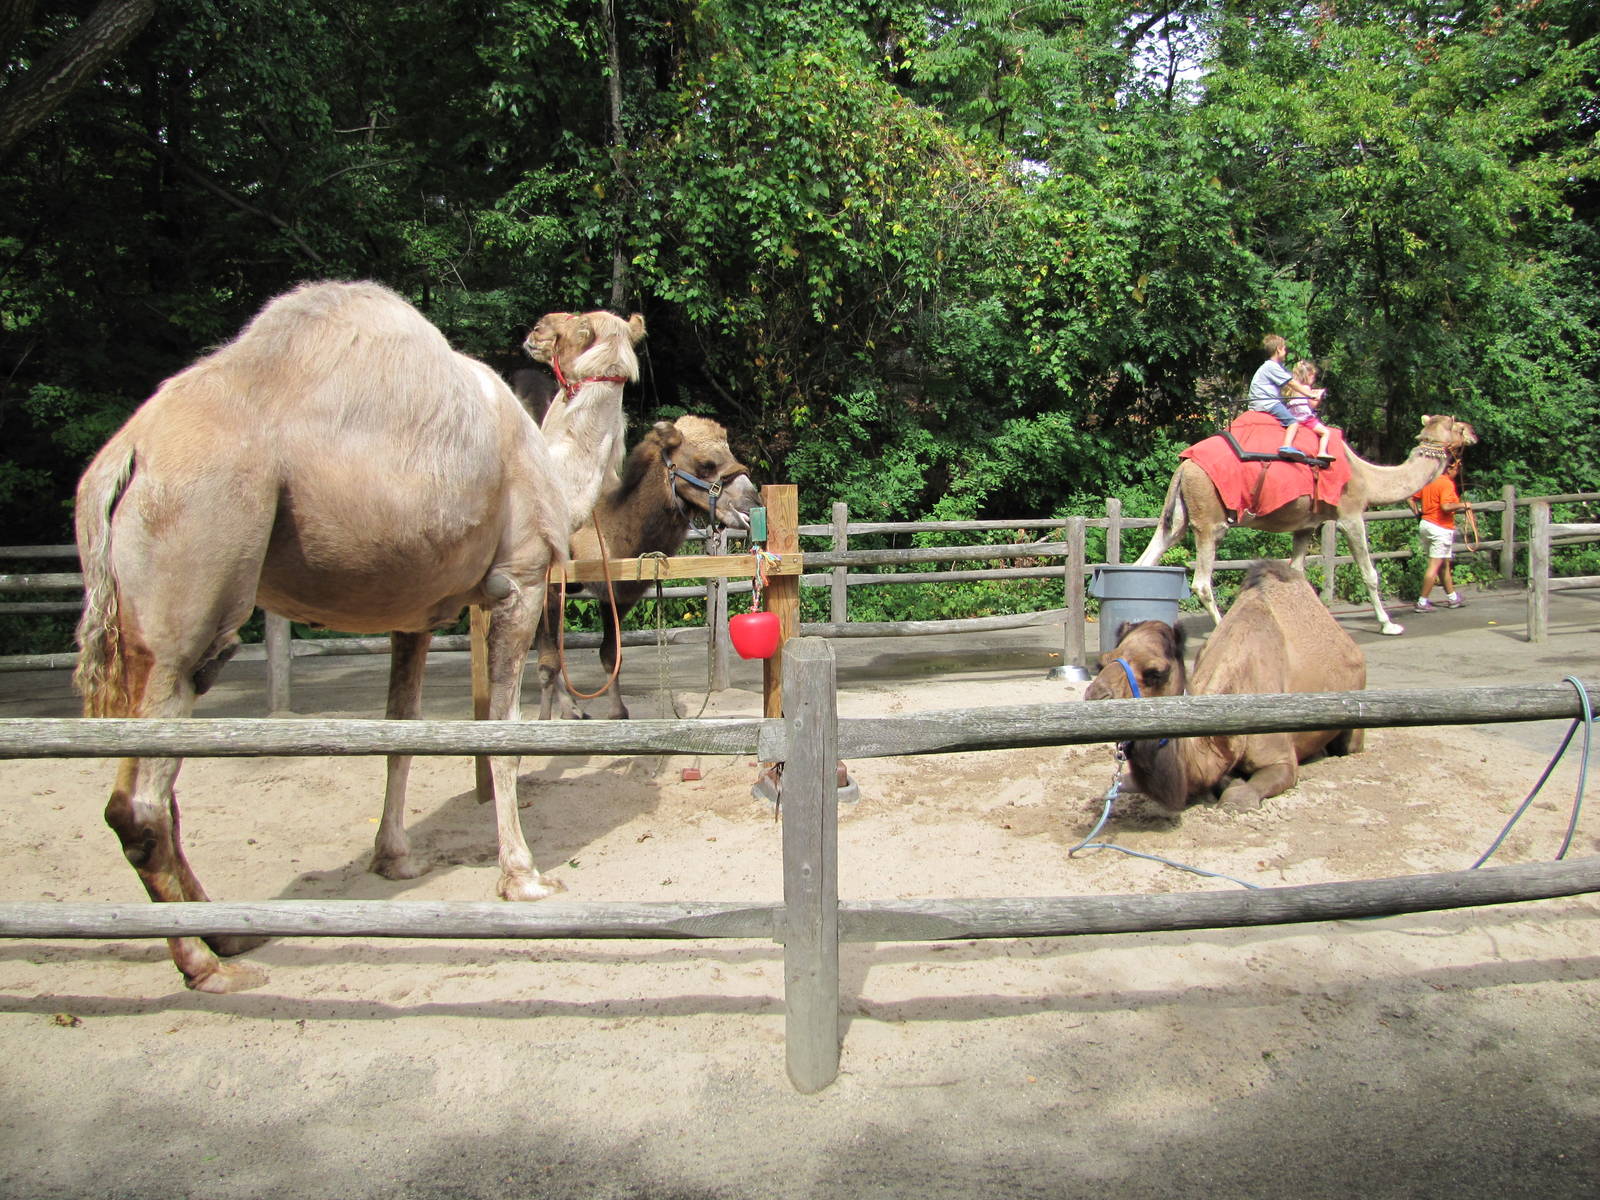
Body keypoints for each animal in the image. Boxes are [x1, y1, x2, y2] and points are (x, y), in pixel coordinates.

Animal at [72, 280, 643, 993]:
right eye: (583, 328)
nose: (537, 326)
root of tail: (123, 459)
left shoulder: (415, 613)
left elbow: (401, 731)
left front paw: (394, 858)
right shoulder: (520, 580)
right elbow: (502, 738)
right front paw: (524, 877)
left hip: (138, 627)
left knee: (158, 790)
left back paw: (227, 932)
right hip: (192, 577)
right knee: (140, 802)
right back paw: (206, 964)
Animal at [537, 415, 760, 720]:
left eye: (731, 454)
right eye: (705, 464)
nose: (752, 503)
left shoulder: (619, 594)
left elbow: (610, 654)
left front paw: (617, 713)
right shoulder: (549, 585)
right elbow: (549, 662)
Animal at [1137, 413, 1478, 635]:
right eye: (1459, 425)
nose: (1475, 433)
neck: (1367, 477)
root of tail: (1185, 465)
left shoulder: (1306, 524)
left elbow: (1296, 573)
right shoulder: (1350, 514)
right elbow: (1369, 572)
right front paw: (1389, 623)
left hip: (1181, 511)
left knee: (1151, 555)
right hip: (1210, 517)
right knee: (1202, 581)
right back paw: (1221, 628)